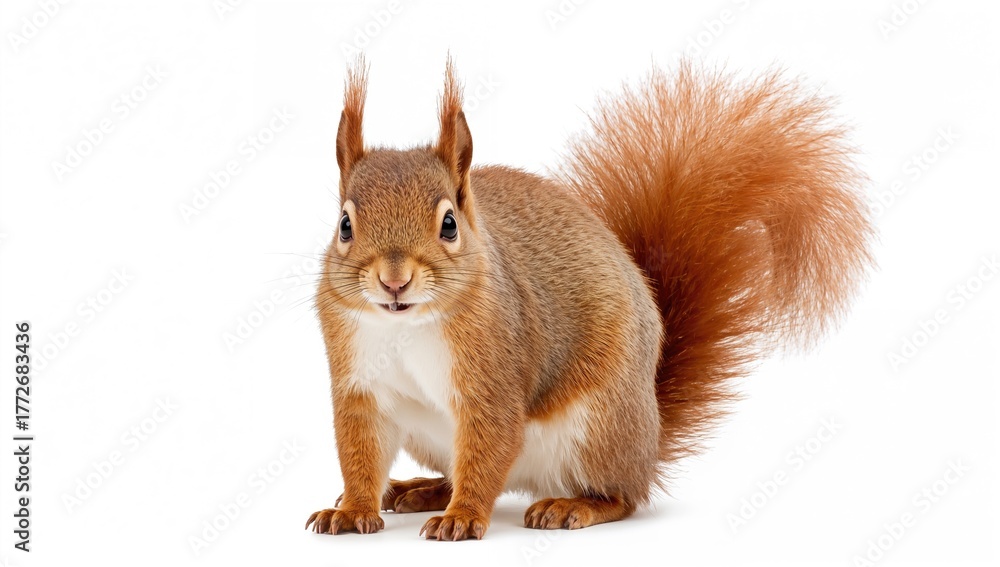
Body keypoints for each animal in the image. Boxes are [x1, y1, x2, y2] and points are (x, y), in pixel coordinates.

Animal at [305, 57, 873, 541]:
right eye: (344, 225)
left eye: (449, 224)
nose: (394, 280)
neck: (404, 325)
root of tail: (649, 435)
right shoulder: (357, 385)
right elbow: (359, 454)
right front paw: (353, 509)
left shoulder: (493, 377)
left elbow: (490, 445)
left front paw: (463, 517)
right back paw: (422, 489)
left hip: (598, 427)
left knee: (620, 495)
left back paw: (567, 505)